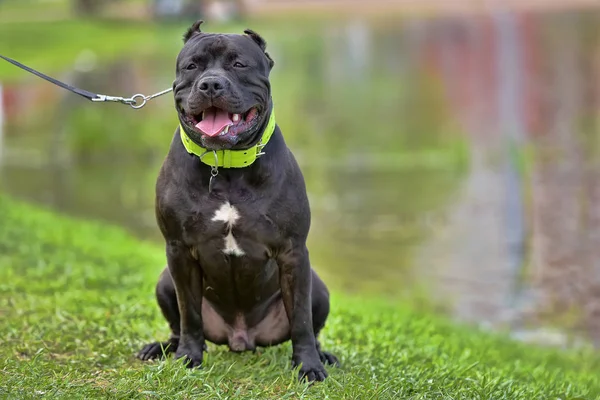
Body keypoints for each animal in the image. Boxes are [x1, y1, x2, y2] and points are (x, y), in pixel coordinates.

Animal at [138, 21, 340, 382]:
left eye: (239, 64)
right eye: (193, 66)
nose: (211, 83)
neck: (226, 165)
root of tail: (241, 338)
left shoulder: (293, 252)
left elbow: (302, 321)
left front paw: (308, 366)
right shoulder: (178, 251)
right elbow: (189, 315)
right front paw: (188, 356)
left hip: (318, 286)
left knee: (310, 324)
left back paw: (323, 355)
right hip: (164, 281)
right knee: (178, 324)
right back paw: (162, 348)